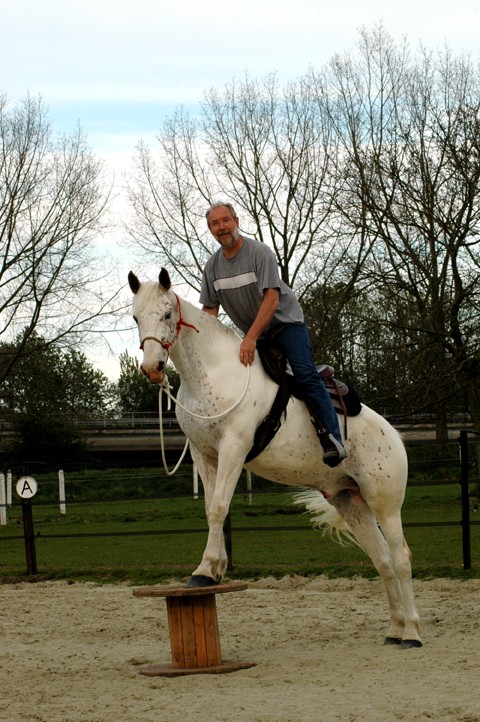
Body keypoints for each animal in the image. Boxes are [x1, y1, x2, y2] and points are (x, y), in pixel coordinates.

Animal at [129, 268, 422, 648]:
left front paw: (206, 570)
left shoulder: (234, 448)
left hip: (385, 503)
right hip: (350, 501)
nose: (153, 368)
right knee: (383, 561)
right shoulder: (203, 454)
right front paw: (214, 569)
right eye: (136, 318)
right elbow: (211, 509)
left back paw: (412, 632)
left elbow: (219, 507)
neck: (214, 372)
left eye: (166, 314)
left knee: (401, 559)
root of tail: (393, 435)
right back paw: (395, 630)